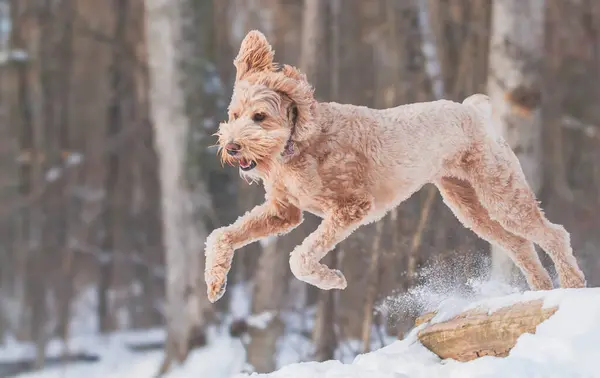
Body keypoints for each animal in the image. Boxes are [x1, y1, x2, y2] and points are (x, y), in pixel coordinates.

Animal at [204, 29, 584, 302]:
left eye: (260, 117)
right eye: (233, 115)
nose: (232, 146)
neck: (300, 142)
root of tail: (474, 111)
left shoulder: (350, 207)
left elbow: (300, 258)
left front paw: (332, 280)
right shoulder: (284, 212)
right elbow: (221, 235)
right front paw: (215, 283)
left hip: (501, 192)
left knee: (554, 234)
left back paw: (572, 283)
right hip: (469, 205)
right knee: (518, 244)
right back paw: (543, 289)